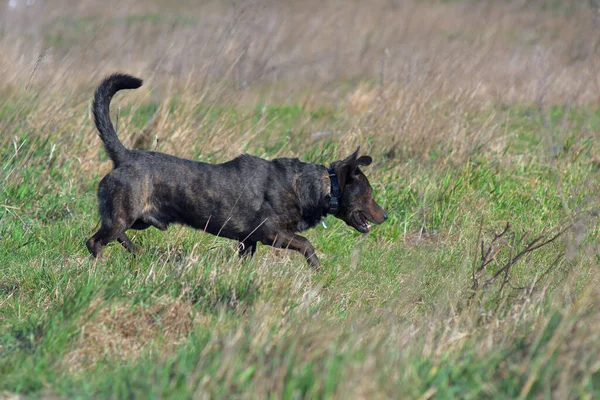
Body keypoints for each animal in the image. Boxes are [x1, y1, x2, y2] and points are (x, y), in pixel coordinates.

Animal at [85, 73, 390, 270]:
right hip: (124, 215)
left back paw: (137, 252)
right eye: (369, 194)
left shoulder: (248, 242)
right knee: (94, 241)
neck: (319, 186)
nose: (386, 215)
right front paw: (316, 269)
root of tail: (125, 155)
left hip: (136, 219)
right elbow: (306, 243)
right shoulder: (272, 234)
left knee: (113, 235)